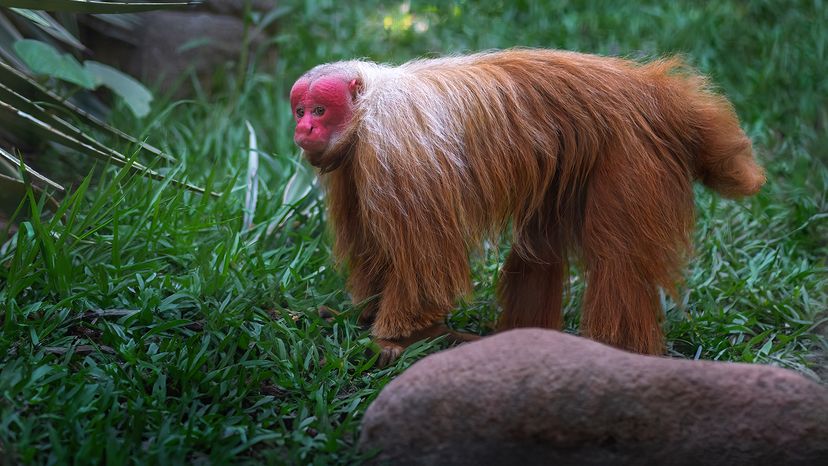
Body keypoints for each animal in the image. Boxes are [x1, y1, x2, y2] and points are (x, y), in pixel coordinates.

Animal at [289, 49, 765, 366]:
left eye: (319, 110)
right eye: (299, 111)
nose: (303, 129)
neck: (367, 107)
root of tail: (652, 89)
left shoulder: (394, 147)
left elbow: (426, 267)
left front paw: (394, 337)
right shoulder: (352, 166)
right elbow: (374, 249)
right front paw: (368, 315)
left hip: (631, 155)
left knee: (618, 260)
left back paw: (620, 352)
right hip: (573, 158)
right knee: (539, 249)